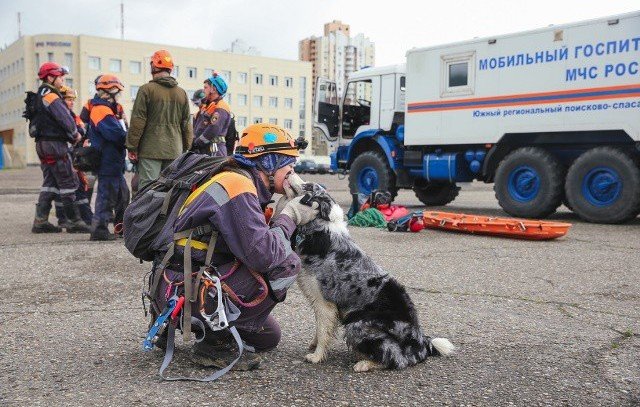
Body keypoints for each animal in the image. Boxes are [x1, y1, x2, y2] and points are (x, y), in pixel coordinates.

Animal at [292, 185, 452, 372]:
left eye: (309, 187)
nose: (292, 179)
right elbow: (320, 329)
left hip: (357, 325)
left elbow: (323, 331)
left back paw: (364, 363)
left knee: (395, 359)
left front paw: (317, 356)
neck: (321, 230)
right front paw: (313, 345)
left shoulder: (324, 302)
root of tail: (421, 344)